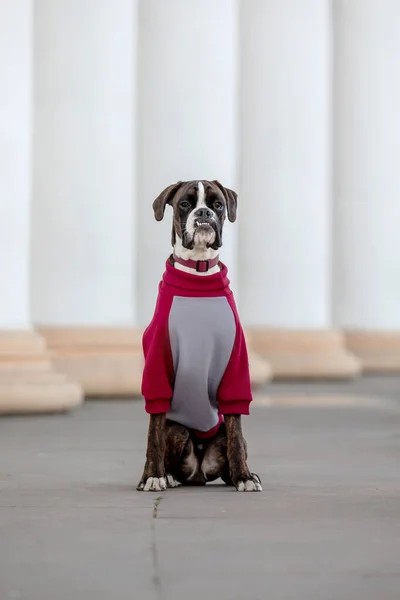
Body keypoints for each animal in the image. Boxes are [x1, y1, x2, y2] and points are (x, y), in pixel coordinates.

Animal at [138, 180, 262, 494]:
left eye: (218, 204)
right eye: (185, 203)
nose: (204, 213)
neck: (198, 274)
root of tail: (199, 475)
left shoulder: (235, 366)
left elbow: (236, 432)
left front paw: (244, 477)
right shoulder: (158, 366)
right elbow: (153, 434)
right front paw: (151, 477)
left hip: (219, 436)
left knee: (233, 441)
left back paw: (241, 475)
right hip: (178, 429)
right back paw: (167, 476)